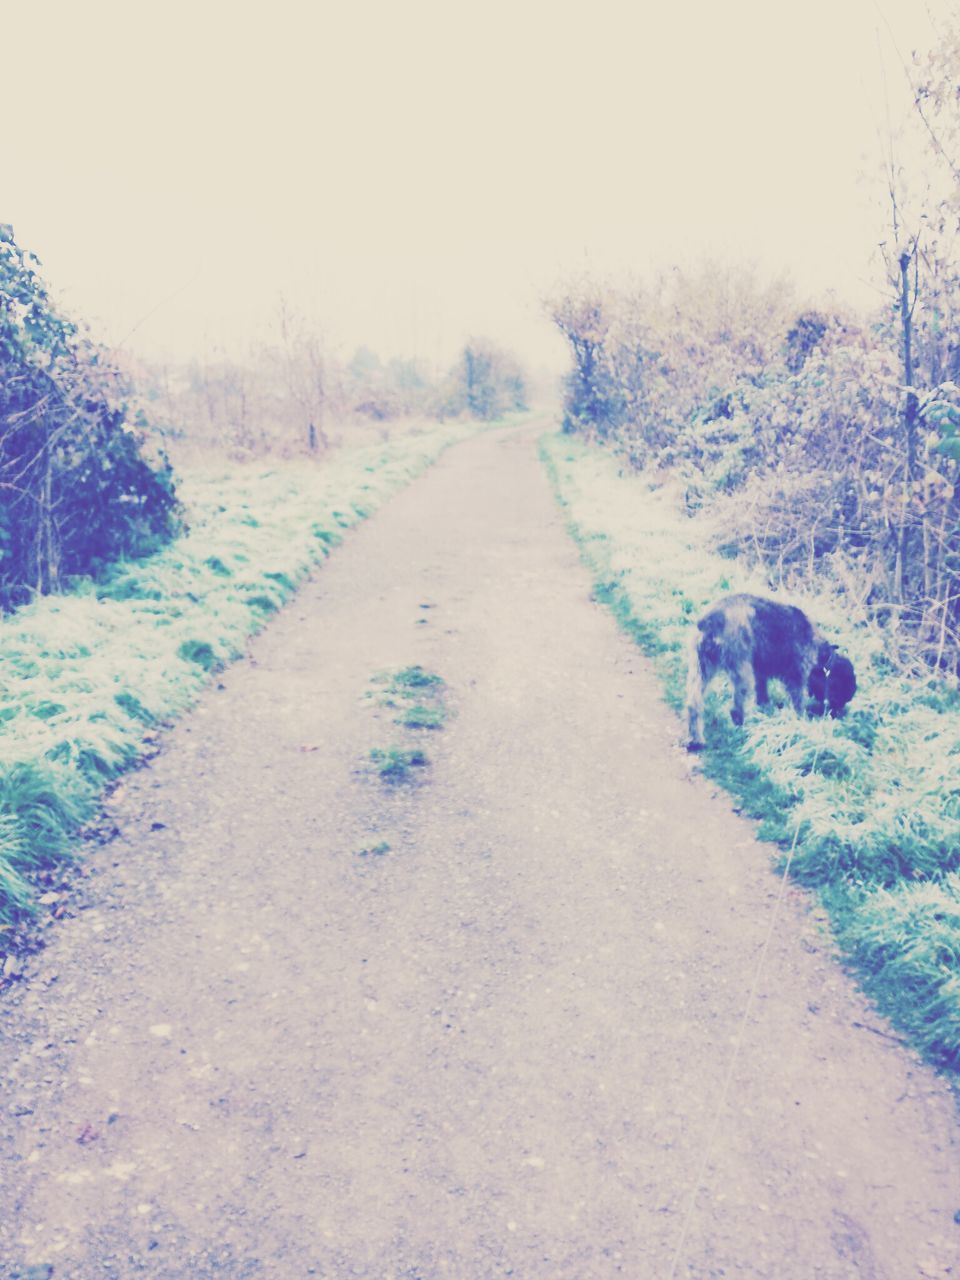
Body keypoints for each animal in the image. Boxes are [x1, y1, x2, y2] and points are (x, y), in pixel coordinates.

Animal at [686, 591, 860, 747]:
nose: (838, 715)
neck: (823, 657)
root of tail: (710, 620)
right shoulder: (796, 677)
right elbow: (797, 702)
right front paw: (801, 722)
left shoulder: (760, 673)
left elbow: (762, 693)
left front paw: (765, 709)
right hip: (741, 672)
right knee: (735, 708)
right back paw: (743, 729)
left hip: (701, 668)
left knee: (693, 704)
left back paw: (696, 739)